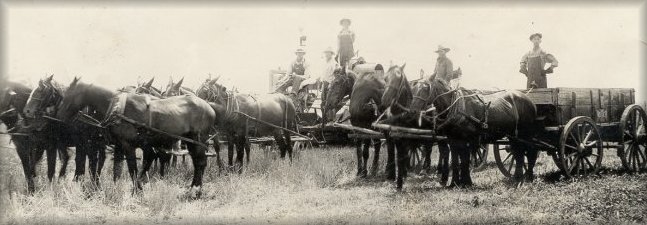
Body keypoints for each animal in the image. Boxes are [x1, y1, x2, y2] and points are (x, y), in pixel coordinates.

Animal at [55, 77, 218, 197]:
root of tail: (210, 107)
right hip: (191, 142)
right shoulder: (122, 145)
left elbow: (132, 168)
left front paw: (137, 190)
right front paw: (124, 189)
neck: (117, 107)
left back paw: (196, 191)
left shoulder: (128, 145)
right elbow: (119, 168)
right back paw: (193, 189)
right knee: (197, 163)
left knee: (201, 163)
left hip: (198, 140)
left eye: (69, 95)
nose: (59, 117)